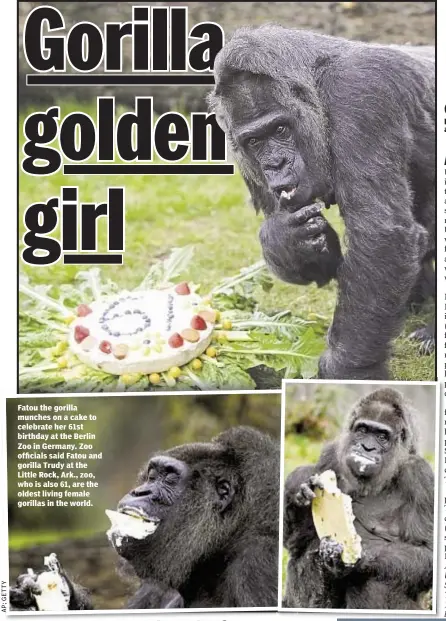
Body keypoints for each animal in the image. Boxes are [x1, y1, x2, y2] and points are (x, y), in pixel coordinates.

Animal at [210, 27, 436, 378]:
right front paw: (283, 239)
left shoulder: (360, 94)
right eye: (255, 141)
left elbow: (382, 236)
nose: (275, 164)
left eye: (281, 129)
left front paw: (350, 370)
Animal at [284, 390, 434, 608]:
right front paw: (299, 491)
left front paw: (359, 558)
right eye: (362, 430)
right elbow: (296, 545)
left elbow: (426, 552)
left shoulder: (420, 475)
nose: (367, 447)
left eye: (382, 436)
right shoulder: (330, 455)